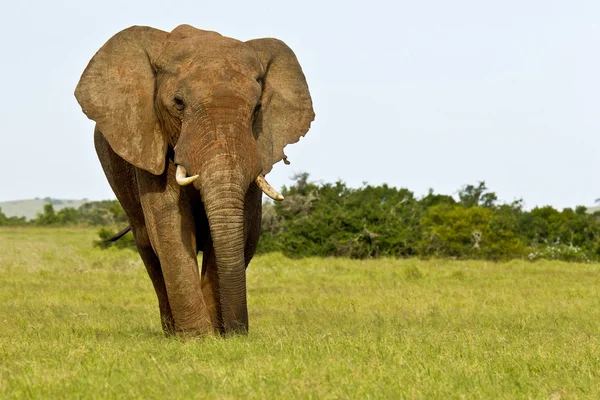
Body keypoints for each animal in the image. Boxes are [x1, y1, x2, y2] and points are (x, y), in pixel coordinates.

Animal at [75, 25, 314, 336]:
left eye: (257, 108)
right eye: (178, 103)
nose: (239, 332)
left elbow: (237, 227)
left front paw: (218, 336)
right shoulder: (150, 139)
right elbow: (169, 227)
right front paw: (198, 338)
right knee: (147, 246)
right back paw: (171, 333)